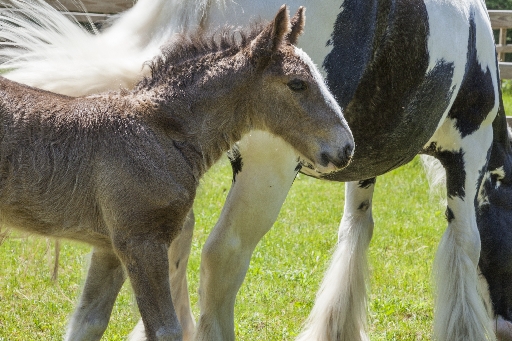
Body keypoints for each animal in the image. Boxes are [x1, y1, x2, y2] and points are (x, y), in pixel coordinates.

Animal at [2, 0, 510, 340]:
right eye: (297, 84)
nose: (345, 145)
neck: (155, 123)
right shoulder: (470, 142)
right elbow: (464, 243)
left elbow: (356, 229)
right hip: (269, 166)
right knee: (223, 252)